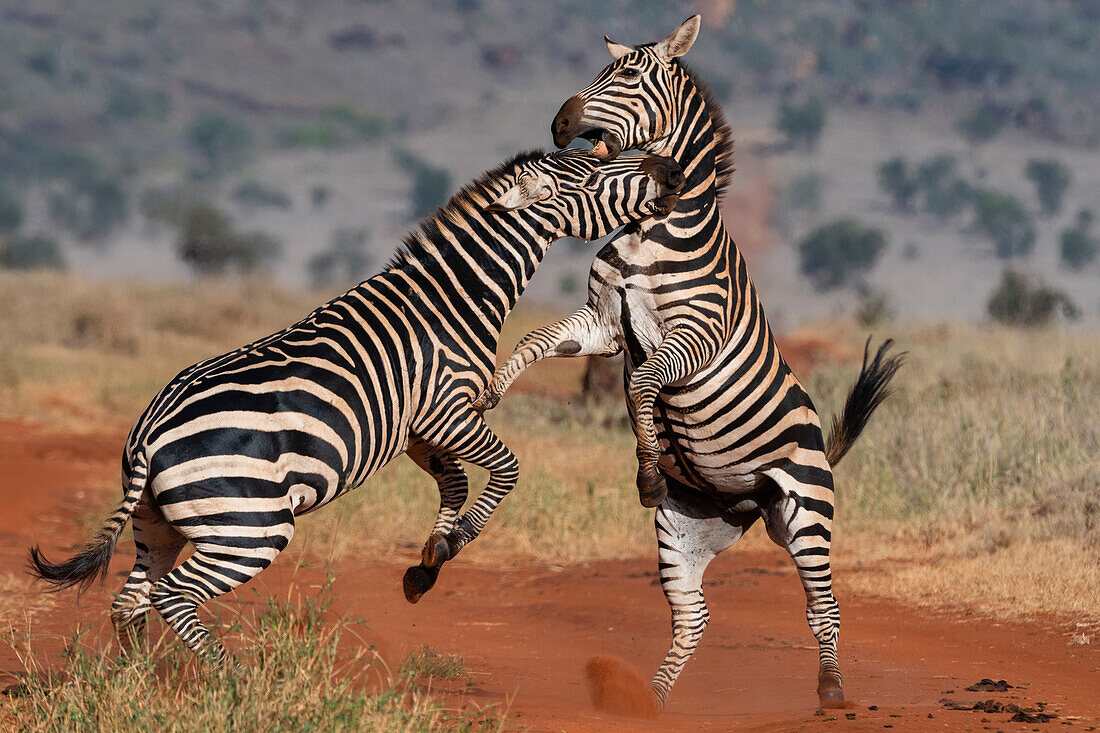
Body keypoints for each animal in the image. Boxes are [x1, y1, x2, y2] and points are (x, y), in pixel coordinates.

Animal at [27, 147, 686, 660]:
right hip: (250, 527)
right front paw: (452, 544)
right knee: (173, 597)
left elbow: (454, 482)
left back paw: (144, 681)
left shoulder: (417, 429)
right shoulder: (448, 411)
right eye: (595, 172)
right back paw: (228, 679)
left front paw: (429, 561)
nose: (671, 172)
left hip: (159, 525)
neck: (453, 299)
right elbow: (506, 470)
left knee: (130, 599)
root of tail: (148, 434)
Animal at [473, 15, 902, 708]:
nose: (559, 124)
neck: (651, 230)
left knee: (822, 606)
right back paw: (648, 702)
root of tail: (749, 503)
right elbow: (536, 340)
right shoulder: (603, 323)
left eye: (626, 75)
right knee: (693, 616)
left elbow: (644, 384)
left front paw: (648, 466)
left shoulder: (694, 335)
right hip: (684, 531)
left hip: (808, 513)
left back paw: (832, 692)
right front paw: (490, 392)